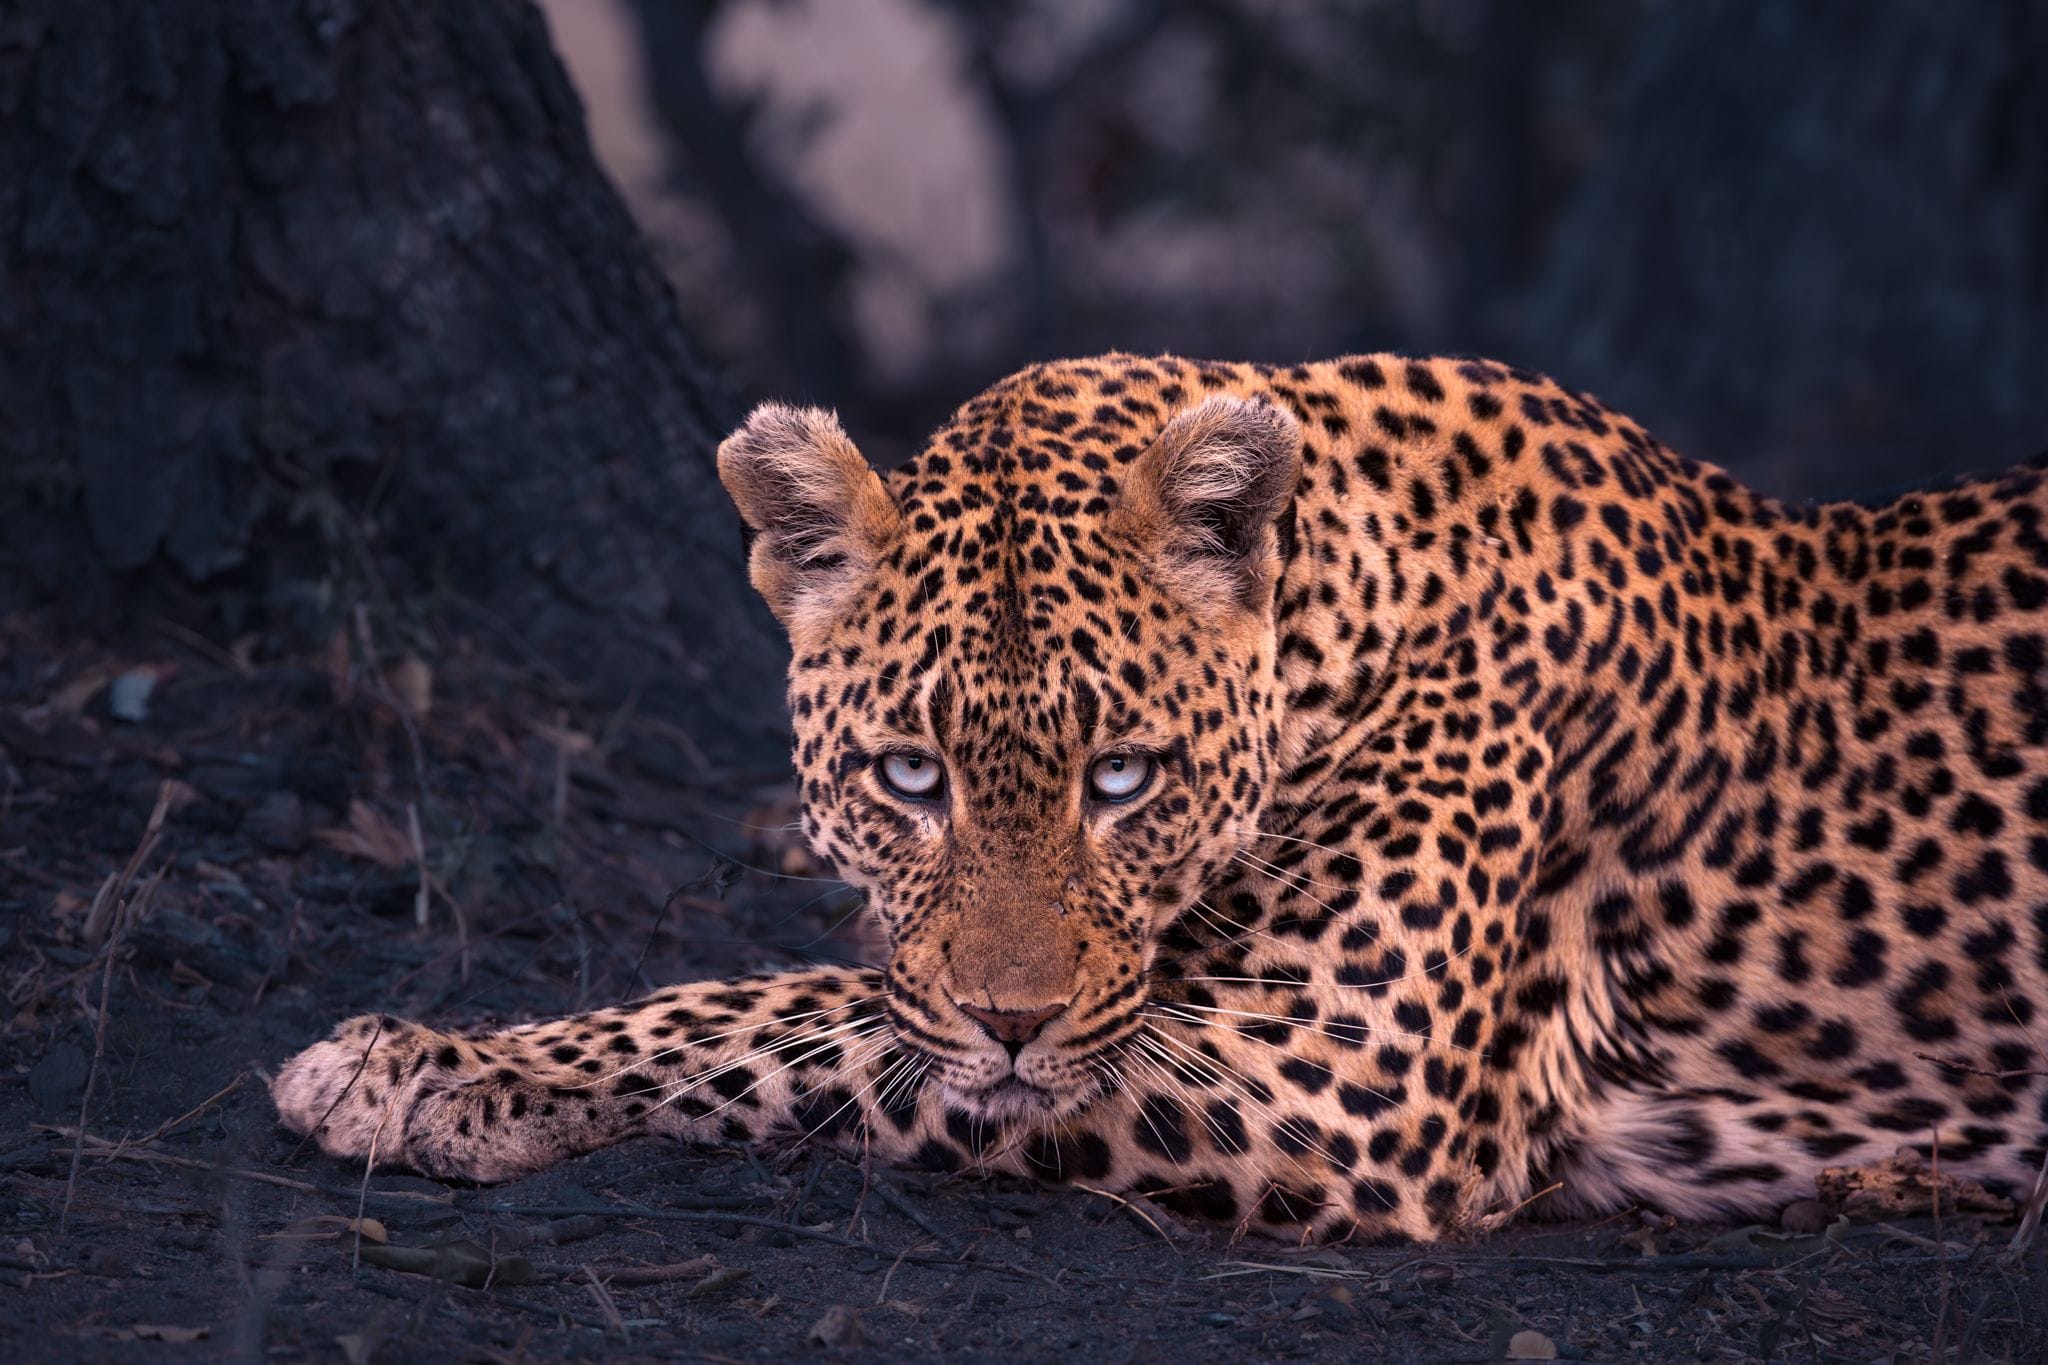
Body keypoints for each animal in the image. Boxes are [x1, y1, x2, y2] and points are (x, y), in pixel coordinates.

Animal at [274, 352, 2048, 1241]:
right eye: (908, 775)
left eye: (1123, 776)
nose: (1012, 1021)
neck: (1348, 598)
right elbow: (830, 1003)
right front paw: (445, 1055)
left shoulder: (1348, 1071)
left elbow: (794, 1017)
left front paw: (433, 1069)